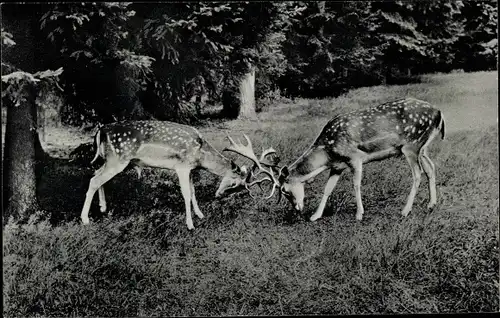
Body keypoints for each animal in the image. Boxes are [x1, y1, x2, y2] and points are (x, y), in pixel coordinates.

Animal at [80, 120, 280, 230]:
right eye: (235, 184)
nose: (218, 194)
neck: (201, 155)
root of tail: (101, 130)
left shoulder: (190, 169)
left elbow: (193, 191)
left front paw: (200, 214)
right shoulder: (181, 166)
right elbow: (185, 194)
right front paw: (190, 224)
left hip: (112, 160)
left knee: (96, 174)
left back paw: (103, 207)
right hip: (118, 159)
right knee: (94, 179)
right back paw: (85, 219)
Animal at [268, 97, 448, 221]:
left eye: (284, 190)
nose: (297, 209)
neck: (328, 153)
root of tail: (439, 112)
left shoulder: (354, 157)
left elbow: (355, 185)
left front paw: (359, 214)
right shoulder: (337, 166)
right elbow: (327, 189)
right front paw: (315, 216)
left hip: (411, 146)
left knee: (417, 174)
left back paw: (405, 211)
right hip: (422, 148)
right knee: (430, 167)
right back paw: (431, 204)